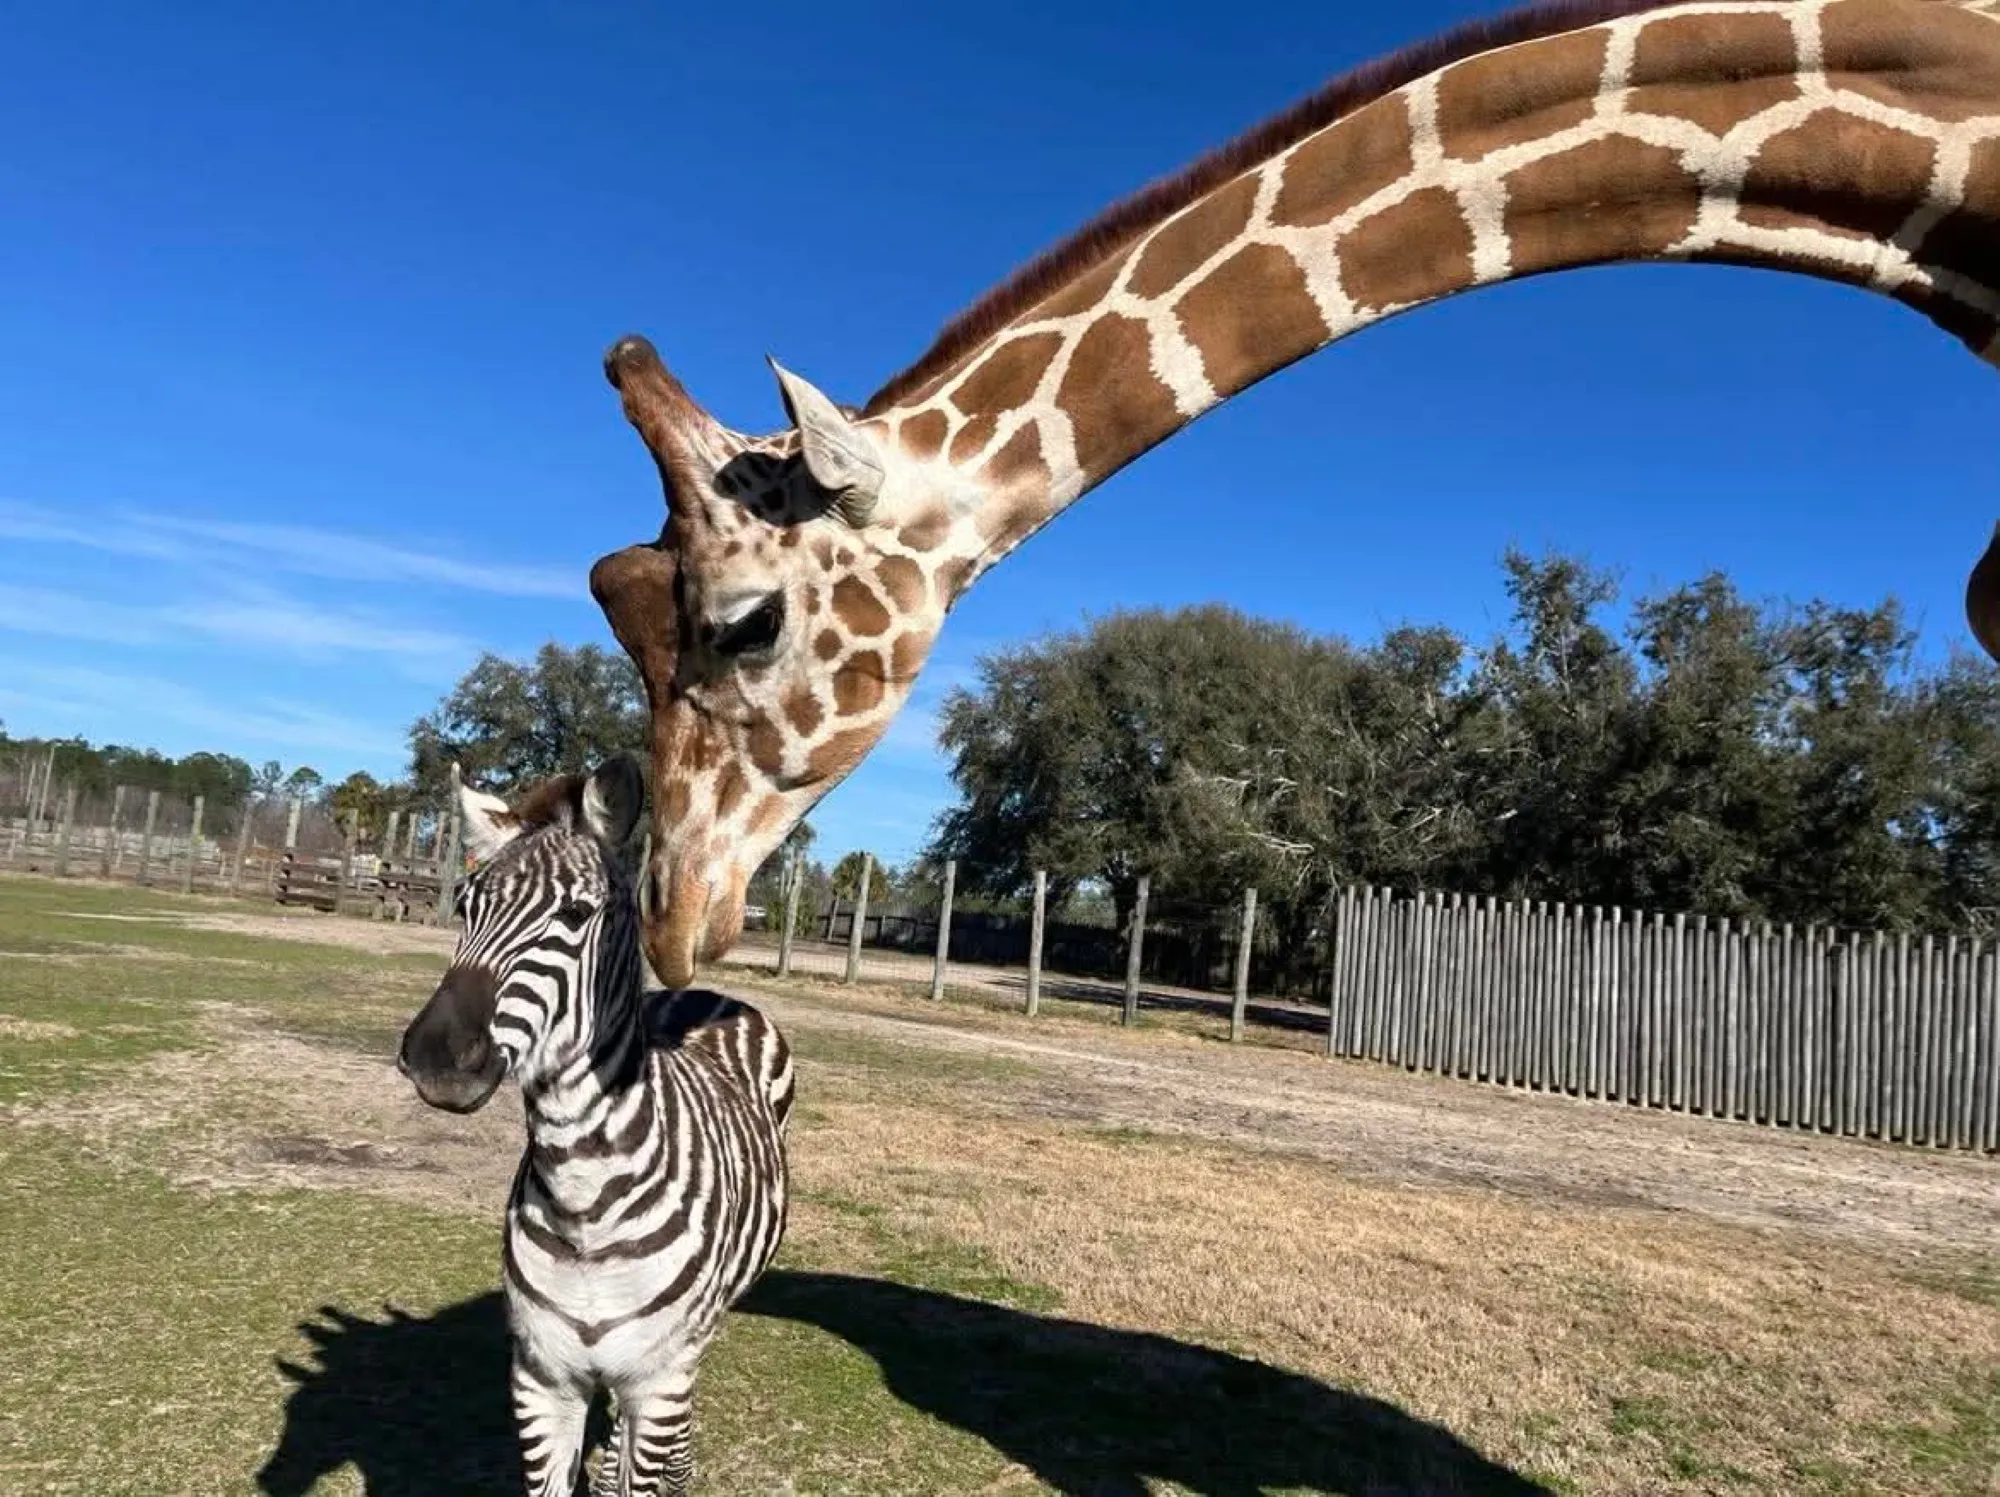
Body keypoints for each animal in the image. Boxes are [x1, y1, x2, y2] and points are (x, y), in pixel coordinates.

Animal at [396, 751, 793, 1496]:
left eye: (576, 914)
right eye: (463, 907)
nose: (434, 1057)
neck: (583, 1197)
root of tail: (704, 993)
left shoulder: (655, 1382)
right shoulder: (541, 1380)